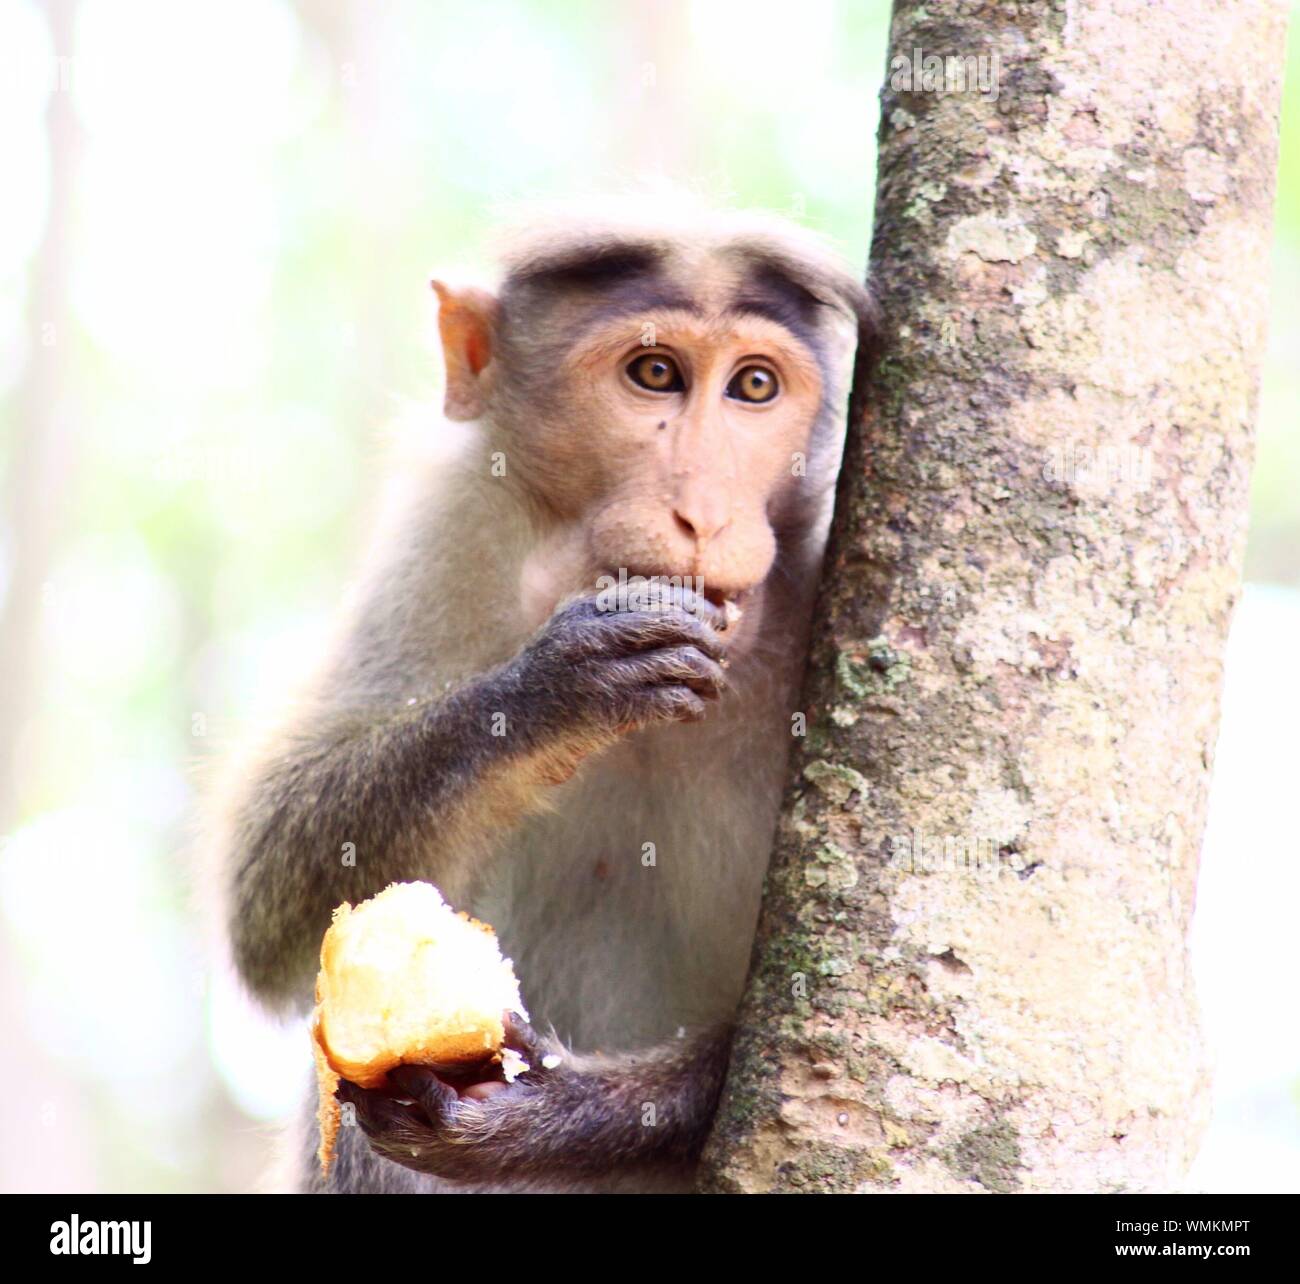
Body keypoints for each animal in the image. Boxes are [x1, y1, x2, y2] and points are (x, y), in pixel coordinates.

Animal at [214, 196, 873, 1193]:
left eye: (754, 387)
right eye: (655, 375)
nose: (704, 514)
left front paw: (548, 1114)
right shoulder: (451, 524)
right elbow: (270, 890)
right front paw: (559, 688)